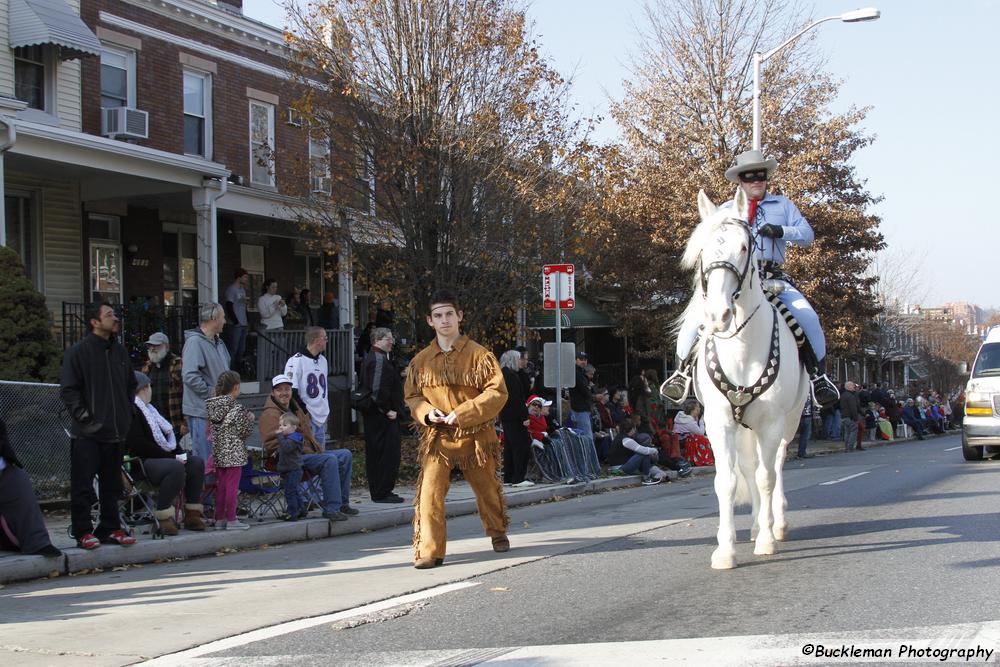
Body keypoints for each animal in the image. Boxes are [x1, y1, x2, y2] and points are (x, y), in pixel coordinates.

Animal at [672, 187, 812, 568]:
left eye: (745, 247)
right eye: (702, 250)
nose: (717, 315)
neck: (741, 348)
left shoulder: (771, 422)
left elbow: (766, 478)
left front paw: (766, 541)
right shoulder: (719, 422)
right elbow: (728, 481)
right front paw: (725, 550)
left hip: (790, 421)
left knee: (774, 466)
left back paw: (775, 525)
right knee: (750, 468)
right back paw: (755, 526)